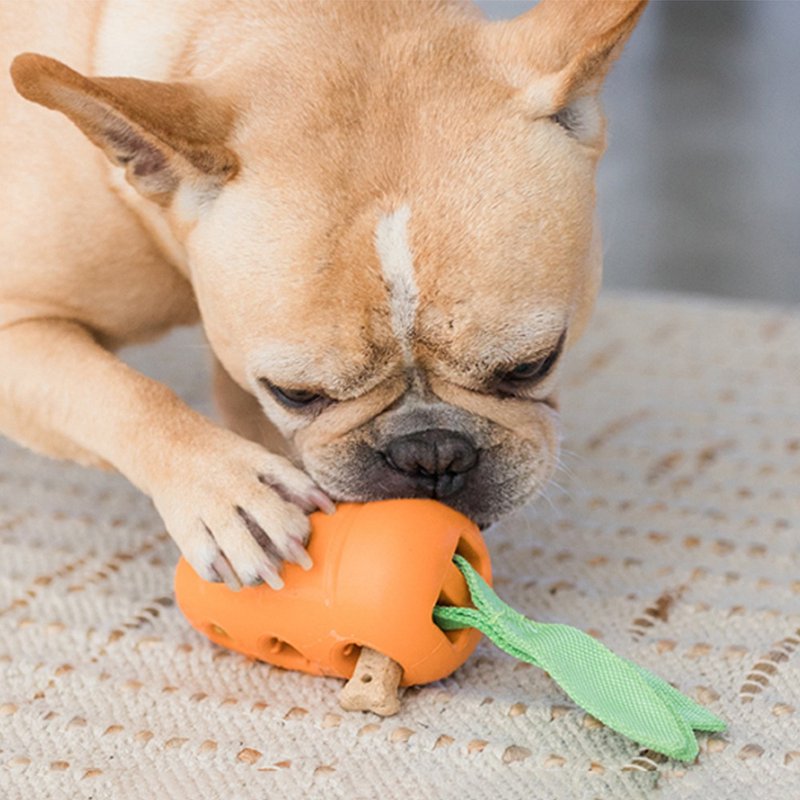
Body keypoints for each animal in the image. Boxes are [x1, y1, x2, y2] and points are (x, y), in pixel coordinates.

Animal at [0, 0, 648, 588]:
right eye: (296, 394)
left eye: (532, 365)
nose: (431, 453)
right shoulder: (20, 331)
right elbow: (121, 393)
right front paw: (229, 491)